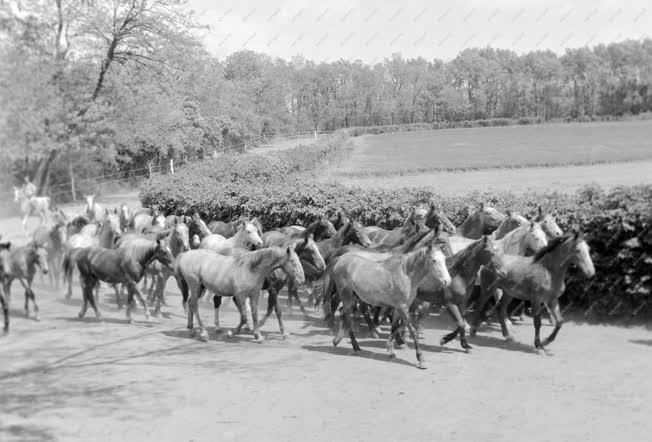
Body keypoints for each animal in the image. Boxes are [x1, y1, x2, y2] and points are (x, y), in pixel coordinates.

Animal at [173, 245, 306, 342]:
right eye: (293, 261)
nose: (301, 280)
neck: (250, 269)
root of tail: (184, 255)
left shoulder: (255, 295)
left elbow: (255, 314)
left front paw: (258, 335)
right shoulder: (242, 296)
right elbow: (244, 316)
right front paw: (232, 332)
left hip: (200, 287)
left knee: (191, 302)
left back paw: (192, 329)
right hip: (195, 285)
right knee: (195, 304)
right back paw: (204, 333)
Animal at [334, 242, 450, 370]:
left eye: (444, 259)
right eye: (434, 260)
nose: (447, 281)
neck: (406, 275)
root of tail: (340, 260)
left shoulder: (398, 307)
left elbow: (394, 327)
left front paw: (391, 351)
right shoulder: (403, 307)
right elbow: (412, 331)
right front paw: (421, 360)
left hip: (354, 297)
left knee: (343, 314)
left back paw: (337, 340)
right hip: (347, 296)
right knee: (347, 317)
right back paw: (355, 346)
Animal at [468, 231, 596, 352]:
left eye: (589, 249)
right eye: (578, 250)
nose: (591, 272)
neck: (548, 271)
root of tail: (485, 263)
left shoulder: (552, 300)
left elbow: (560, 321)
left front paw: (546, 341)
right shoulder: (536, 299)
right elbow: (537, 322)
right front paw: (538, 345)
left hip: (509, 293)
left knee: (500, 308)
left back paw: (508, 336)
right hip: (488, 289)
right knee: (479, 306)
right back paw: (473, 331)